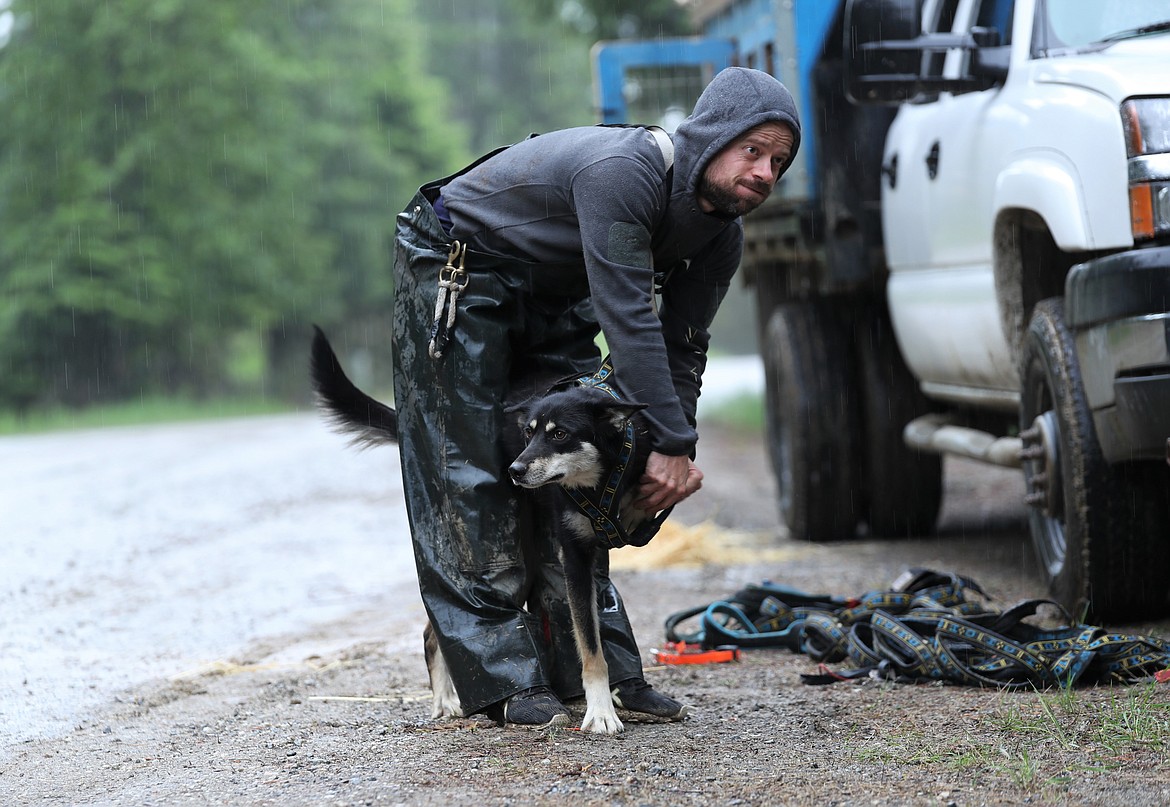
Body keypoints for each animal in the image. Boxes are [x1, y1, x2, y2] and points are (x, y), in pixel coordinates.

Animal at [308, 322, 659, 734]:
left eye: (559, 434)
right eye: (528, 432)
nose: (514, 470)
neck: (602, 480)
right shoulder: (575, 556)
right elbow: (590, 649)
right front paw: (601, 712)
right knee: (433, 632)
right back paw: (445, 701)